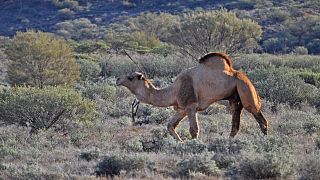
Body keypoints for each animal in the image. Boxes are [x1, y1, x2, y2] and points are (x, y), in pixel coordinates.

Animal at [116, 52, 268, 142]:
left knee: (261, 119)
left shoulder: (191, 106)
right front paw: (181, 143)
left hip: (245, 90)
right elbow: (170, 126)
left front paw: (194, 146)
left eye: (130, 77)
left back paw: (265, 142)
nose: (117, 80)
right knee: (235, 124)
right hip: (235, 99)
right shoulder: (182, 109)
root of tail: (246, 78)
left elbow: (194, 130)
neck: (174, 90)